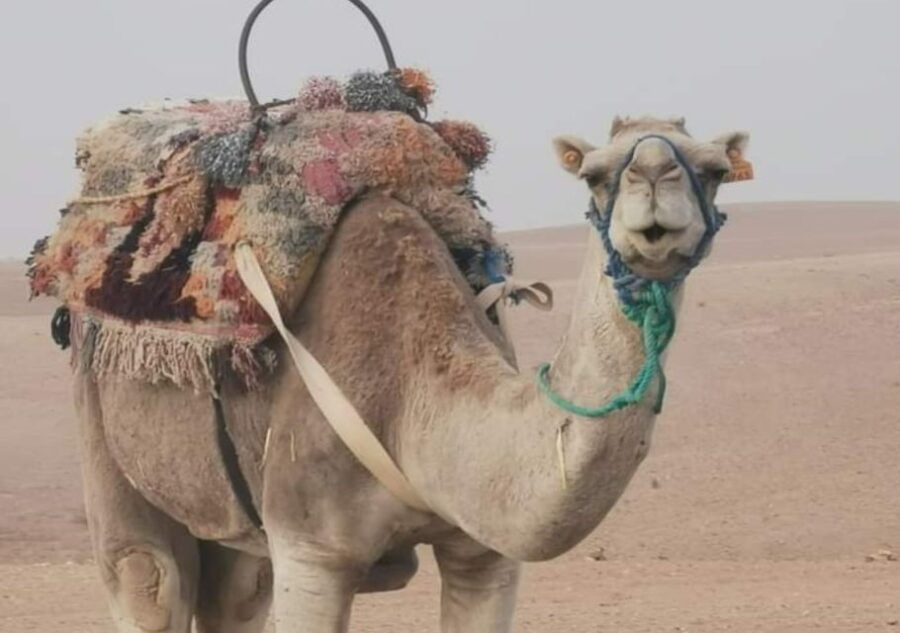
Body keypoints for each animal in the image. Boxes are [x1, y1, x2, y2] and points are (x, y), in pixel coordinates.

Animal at [74, 115, 748, 632]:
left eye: (715, 170)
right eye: (595, 173)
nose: (654, 177)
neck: (411, 400)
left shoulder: (484, 553)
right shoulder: (311, 549)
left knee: (236, 594)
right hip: (101, 422)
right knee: (147, 575)